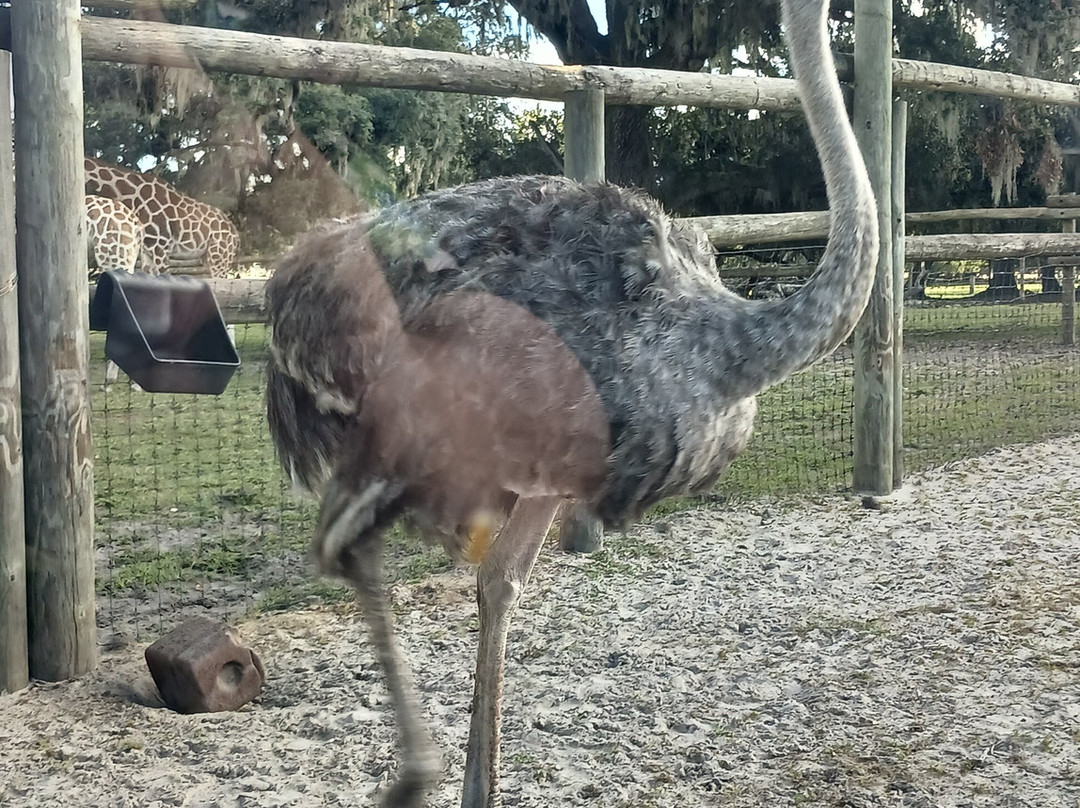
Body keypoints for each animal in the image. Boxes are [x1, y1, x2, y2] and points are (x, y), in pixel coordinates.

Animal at [84, 157, 240, 278]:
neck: (131, 194)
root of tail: (236, 234)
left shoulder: (161, 247)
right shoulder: (147, 251)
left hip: (219, 256)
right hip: (206, 257)